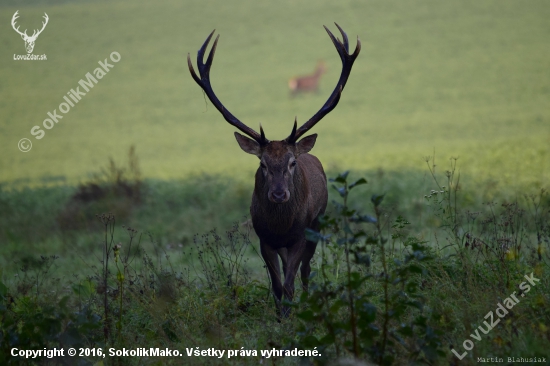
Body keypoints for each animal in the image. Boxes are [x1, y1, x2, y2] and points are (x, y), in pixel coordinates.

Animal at [190, 22, 362, 316]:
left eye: (292, 163)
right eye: (262, 163)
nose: (279, 194)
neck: (281, 226)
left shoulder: (300, 235)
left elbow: (291, 283)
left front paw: (292, 315)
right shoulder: (264, 239)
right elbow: (277, 286)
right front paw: (280, 316)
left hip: (317, 224)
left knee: (306, 271)